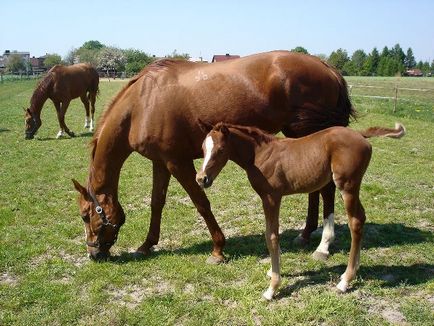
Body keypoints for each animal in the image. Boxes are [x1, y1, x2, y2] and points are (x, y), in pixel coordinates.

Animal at [73, 50, 362, 260]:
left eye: (86, 216)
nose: (93, 254)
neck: (142, 104)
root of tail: (327, 67)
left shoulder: (178, 162)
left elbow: (201, 202)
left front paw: (218, 248)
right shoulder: (161, 162)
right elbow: (157, 202)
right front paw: (147, 245)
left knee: (326, 190)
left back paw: (323, 246)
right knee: (316, 188)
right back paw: (306, 233)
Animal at [197, 121, 406, 298]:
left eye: (220, 150)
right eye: (203, 149)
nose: (201, 179)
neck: (260, 154)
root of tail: (360, 134)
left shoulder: (271, 198)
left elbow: (271, 236)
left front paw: (272, 288)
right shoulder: (269, 199)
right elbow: (272, 233)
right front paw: (272, 272)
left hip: (347, 187)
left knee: (355, 222)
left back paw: (345, 282)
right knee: (361, 218)